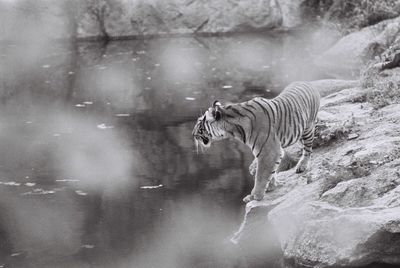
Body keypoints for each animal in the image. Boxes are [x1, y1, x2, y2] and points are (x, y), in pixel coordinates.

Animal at [192, 81, 320, 203]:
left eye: (199, 124)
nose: (192, 134)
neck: (233, 129)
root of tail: (307, 82)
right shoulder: (273, 151)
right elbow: (271, 171)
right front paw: (271, 187)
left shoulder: (268, 152)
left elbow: (261, 175)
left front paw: (255, 196)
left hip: (308, 129)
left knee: (308, 150)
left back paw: (302, 166)